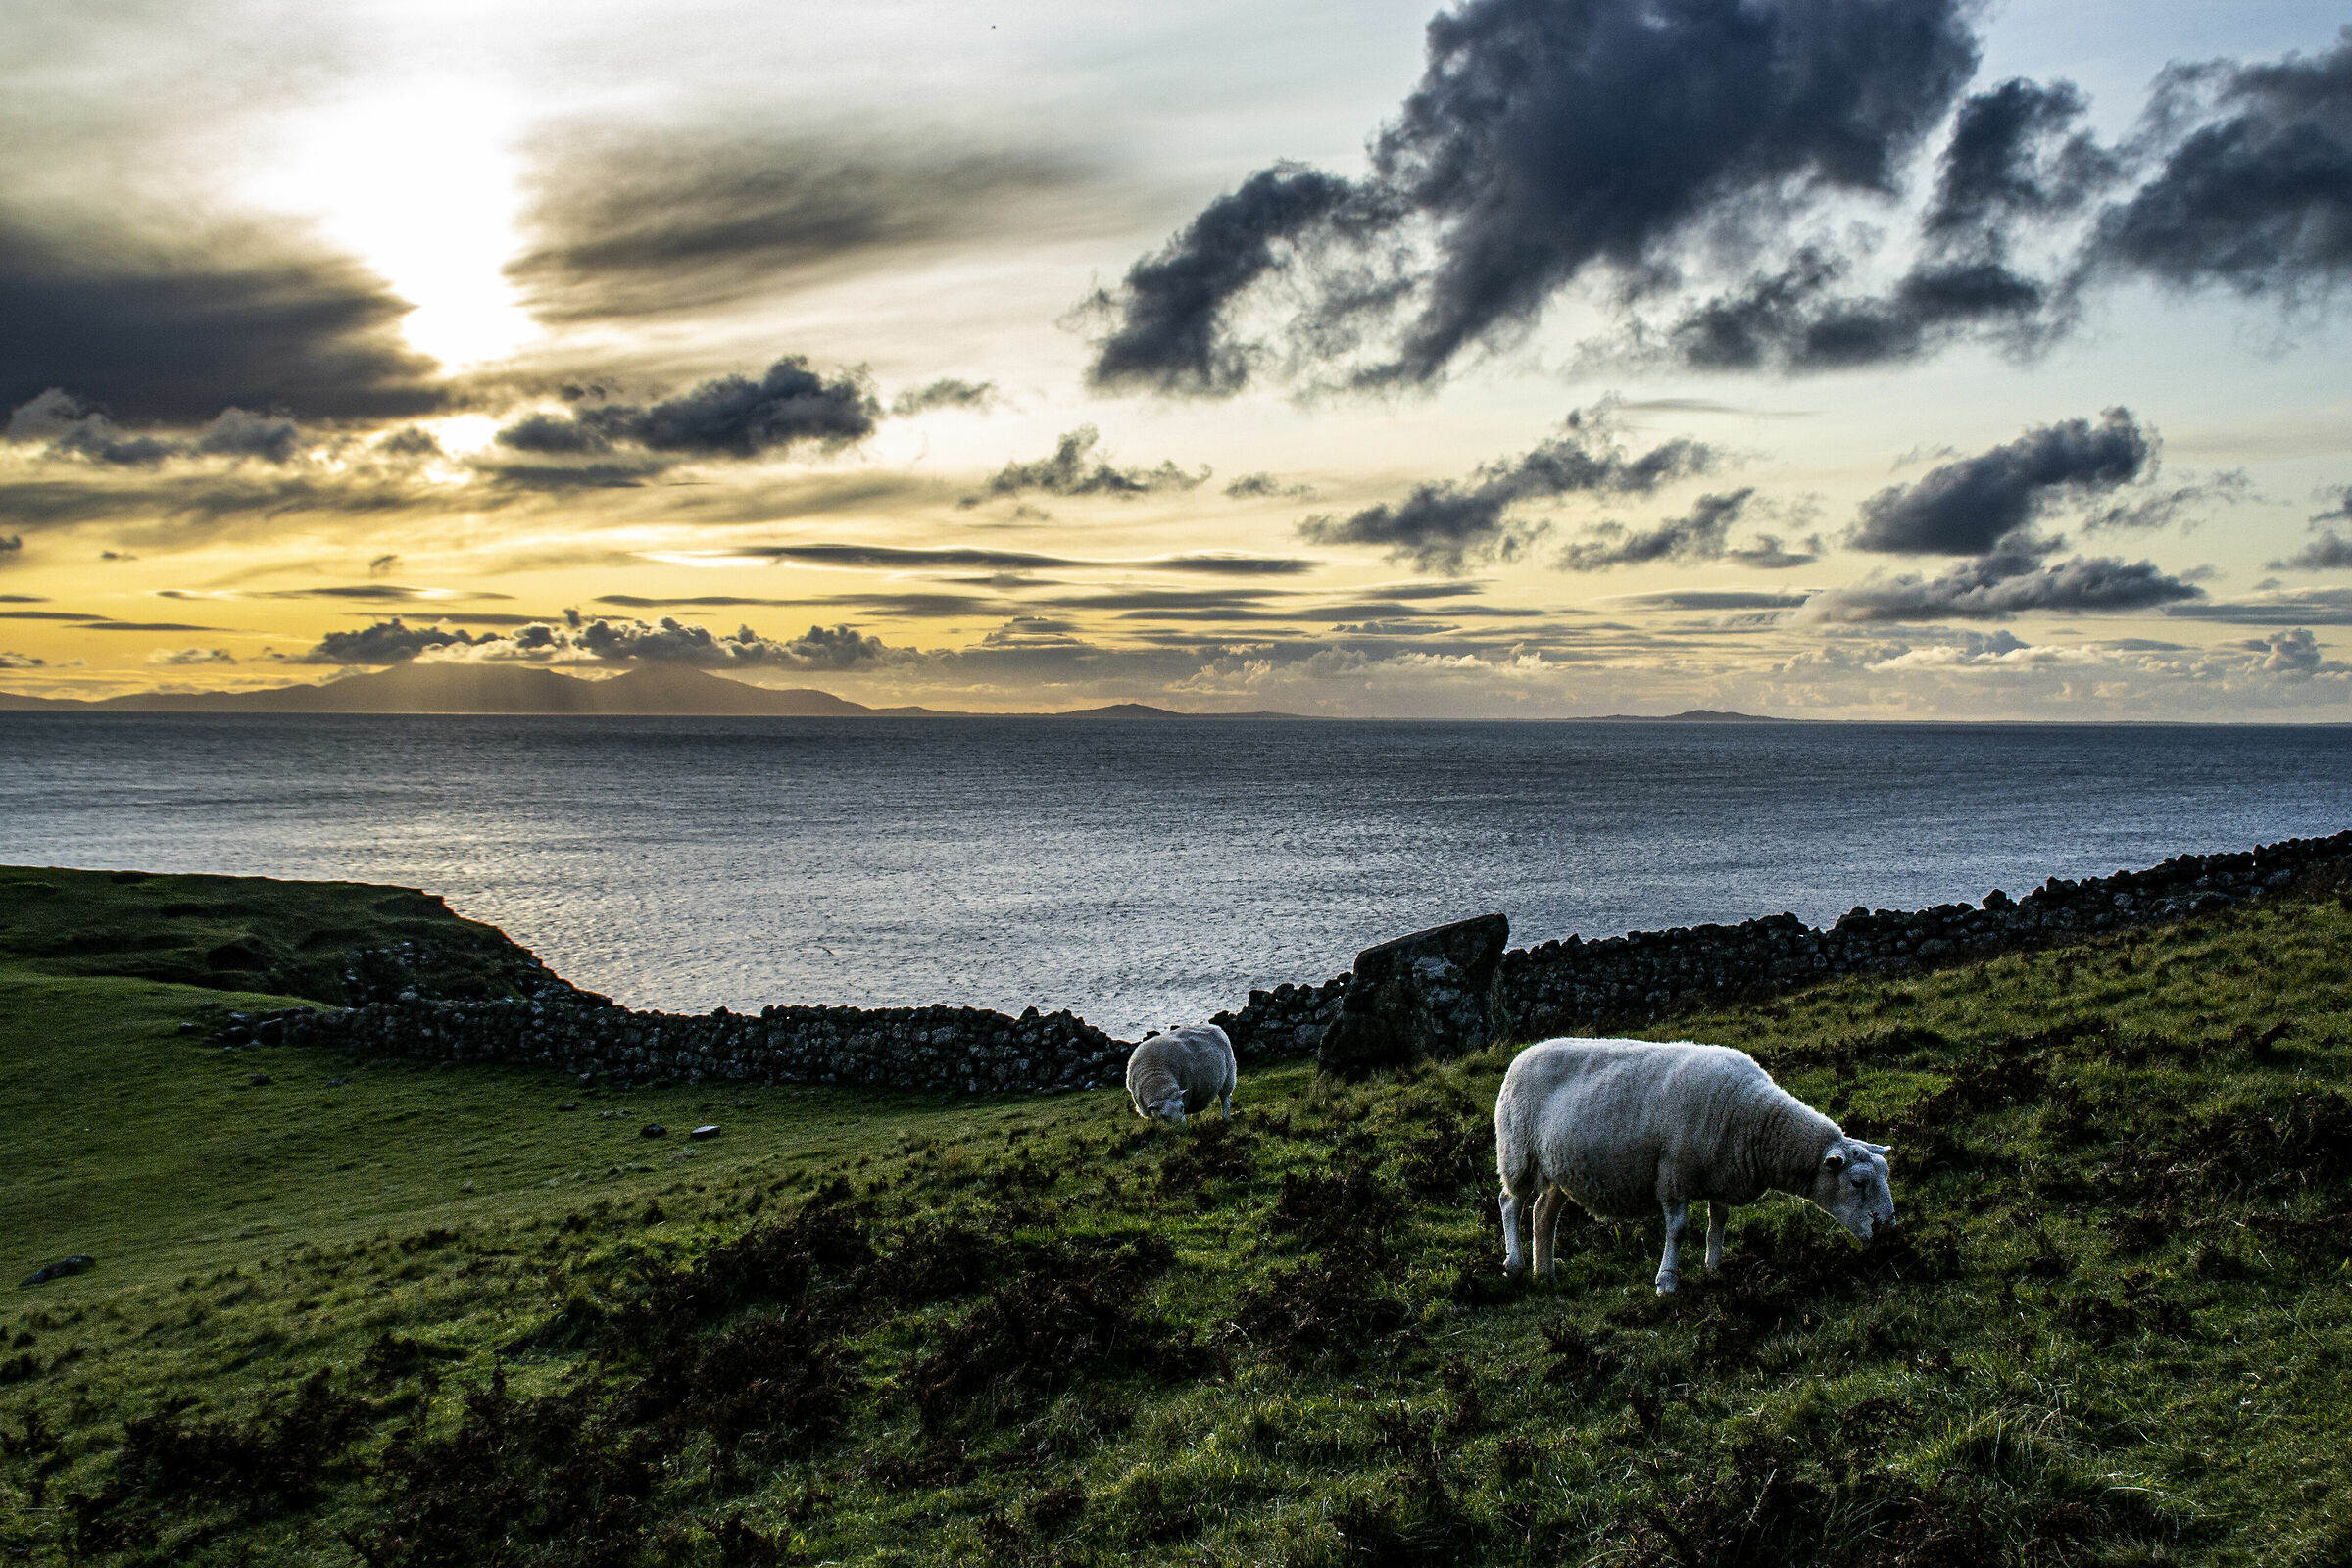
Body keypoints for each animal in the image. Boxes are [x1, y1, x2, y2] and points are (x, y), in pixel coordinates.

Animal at [1493, 1036, 1895, 1293]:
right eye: (1858, 1182)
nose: (1888, 1232)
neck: (1752, 1116)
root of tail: (1522, 1055)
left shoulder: (1722, 1176)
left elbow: (1717, 1225)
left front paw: (1714, 1268)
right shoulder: (1674, 1175)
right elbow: (1678, 1230)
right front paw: (1667, 1281)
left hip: (1559, 1171)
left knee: (1543, 1213)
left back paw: (1545, 1273)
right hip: (1518, 1153)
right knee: (1510, 1202)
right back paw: (1515, 1265)